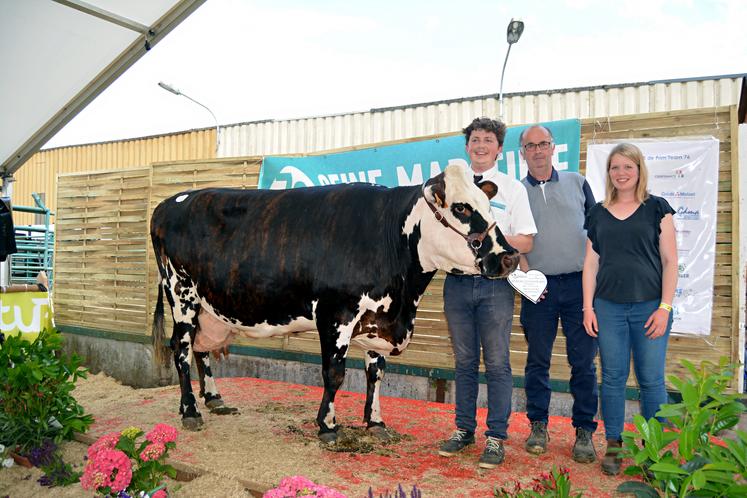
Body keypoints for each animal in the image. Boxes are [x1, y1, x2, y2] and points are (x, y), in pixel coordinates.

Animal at [149, 164, 516, 444]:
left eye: (489, 205)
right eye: (461, 208)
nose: (510, 257)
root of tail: (171, 202)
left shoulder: (376, 319)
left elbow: (376, 372)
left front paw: (375, 422)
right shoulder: (336, 312)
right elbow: (334, 372)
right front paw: (327, 426)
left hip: (208, 307)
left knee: (201, 348)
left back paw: (213, 399)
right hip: (181, 292)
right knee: (181, 348)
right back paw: (191, 410)